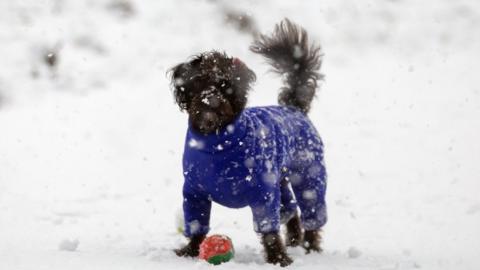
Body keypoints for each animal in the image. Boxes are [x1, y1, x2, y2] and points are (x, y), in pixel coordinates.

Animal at [168, 19, 326, 266]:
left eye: (225, 85)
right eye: (199, 82)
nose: (210, 100)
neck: (217, 143)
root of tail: (294, 108)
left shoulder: (264, 193)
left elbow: (269, 230)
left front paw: (278, 258)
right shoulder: (194, 192)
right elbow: (196, 224)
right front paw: (190, 251)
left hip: (308, 175)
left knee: (311, 212)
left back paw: (311, 247)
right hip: (281, 182)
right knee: (290, 210)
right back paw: (294, 240)